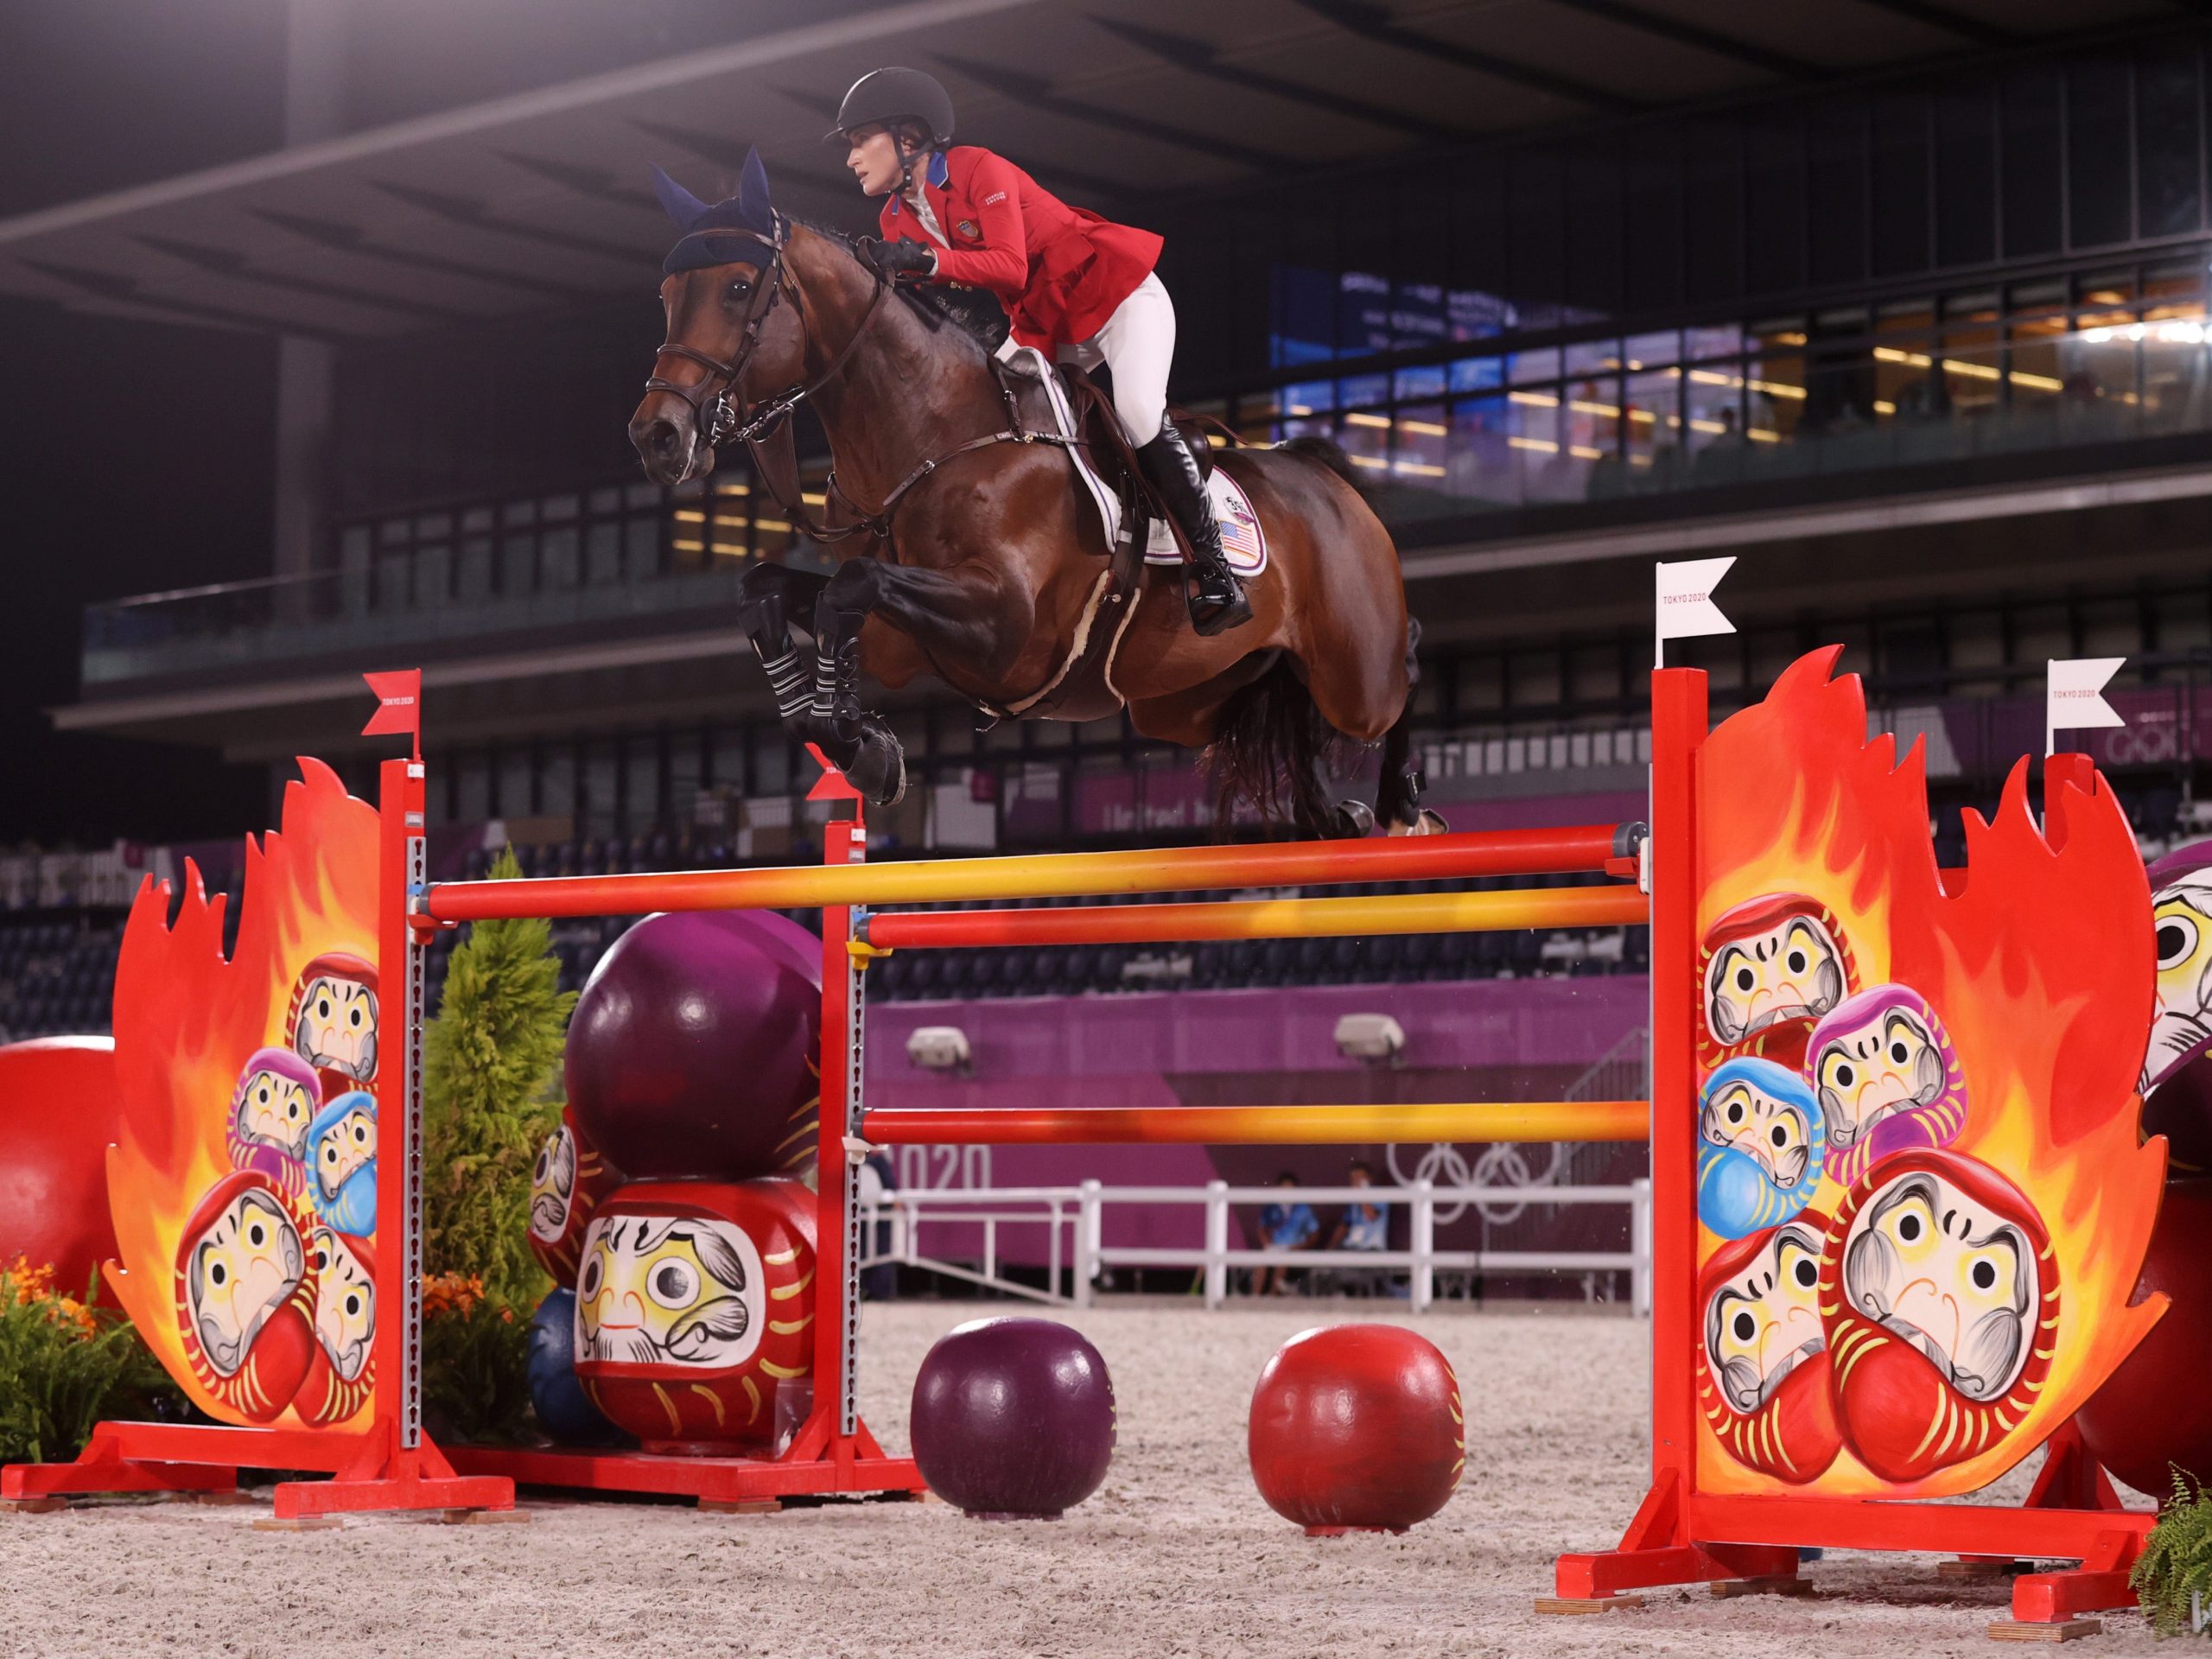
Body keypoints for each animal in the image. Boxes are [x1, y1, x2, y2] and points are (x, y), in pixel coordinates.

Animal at [628, 159, 1433, 844]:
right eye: (666, 298)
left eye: (738, 288)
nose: (658, 437)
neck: (929, 436)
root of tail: (1324, 476)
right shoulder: (897, 642)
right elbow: (769, 591)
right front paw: (855, 740)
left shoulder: (1003, 624)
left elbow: (850, 587)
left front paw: (854, 738)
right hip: (1187, 702)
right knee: (1285, 710)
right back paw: (1333, 813)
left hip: (1356, 670)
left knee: (1403, 669)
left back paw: (1400, 804)